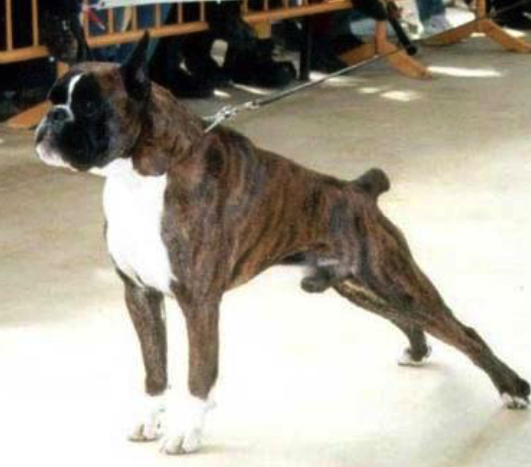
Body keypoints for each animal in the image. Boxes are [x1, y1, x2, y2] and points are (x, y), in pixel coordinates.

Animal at [35, 34, 529, 455]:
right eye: (53, 98)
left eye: (90, 106)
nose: (51, 118)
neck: (141, 175)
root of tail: (358, 190)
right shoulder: (139, 294)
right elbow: (155, 368)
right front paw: (149, 418)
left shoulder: (198, 302)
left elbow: (198, 374)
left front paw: (186, 432)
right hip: (359, 286)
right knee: (407, 319)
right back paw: (418, 351)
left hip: (393, 280)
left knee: (463, 332)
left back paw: (512, 388)